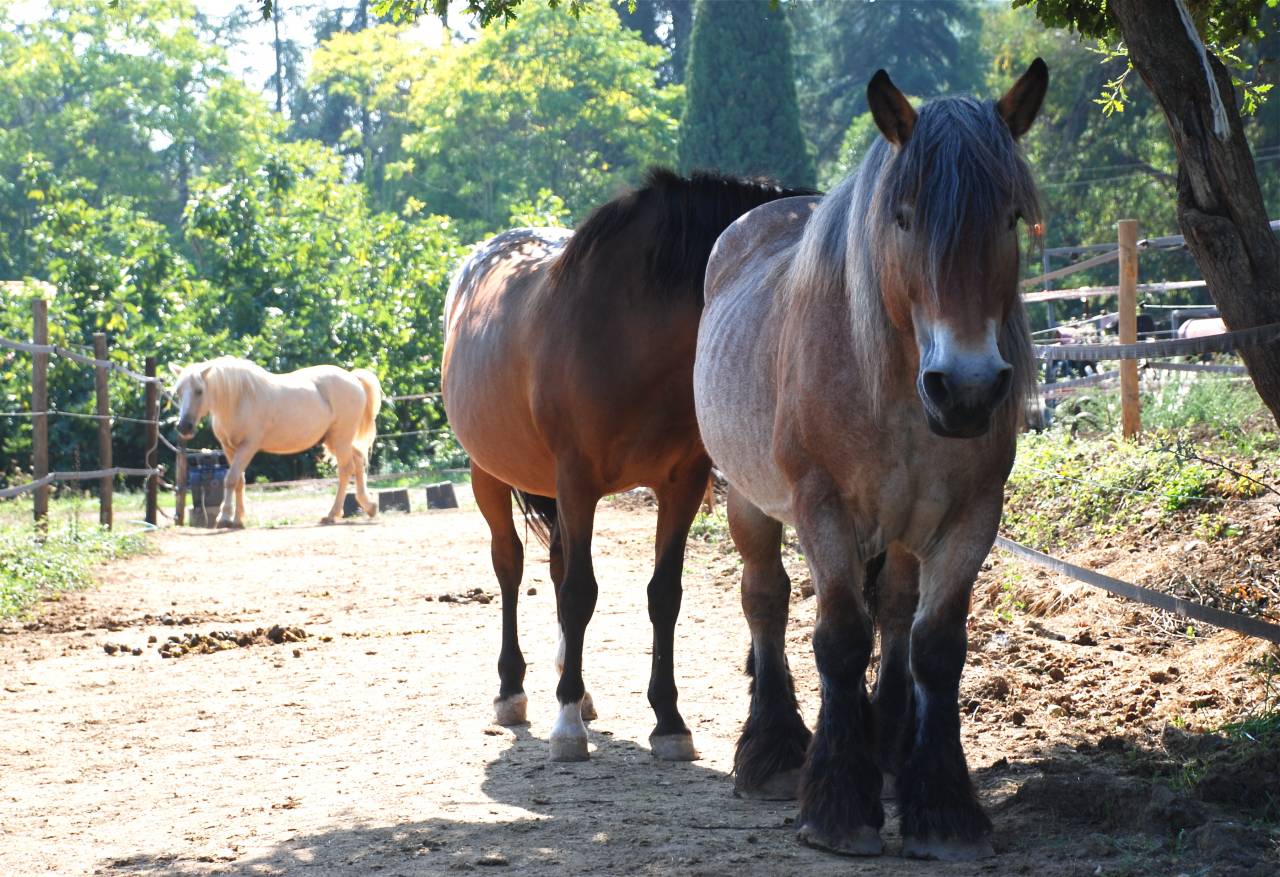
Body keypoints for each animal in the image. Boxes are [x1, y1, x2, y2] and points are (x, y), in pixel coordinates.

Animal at [172, 357, 382, 528]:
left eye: (199, 391)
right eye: (179, 392)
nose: (184, 427)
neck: (239, 398)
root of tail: (353, 378)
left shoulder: (248, 446)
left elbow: (230, 479)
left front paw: (224, 518)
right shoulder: (230, 448)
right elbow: (239, 481)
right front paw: (238, 520)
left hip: (341, 439)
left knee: (346, 469)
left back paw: (332, 515)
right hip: (336, 440)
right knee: (358, 461)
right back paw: (369, 506)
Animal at [442, 168, 815, 762]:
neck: (630, 336)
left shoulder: (681, 484)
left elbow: (663, 595)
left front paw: (668, 721)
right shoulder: (577, 481)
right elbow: (580, 592)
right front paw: (566, 726)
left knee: (555, 567)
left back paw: (576, 688)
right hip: (489, 475)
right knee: (511, 565)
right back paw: (513, 691)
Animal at [693, 61, 1047, 860]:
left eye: (1011, 216)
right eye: (905, 215)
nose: (967, 387)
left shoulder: (969, 515)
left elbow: (934, 645)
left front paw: (941, 807)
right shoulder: (822, 506)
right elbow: (839, 637)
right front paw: (836, 807)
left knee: (893, 609)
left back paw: (885, 749)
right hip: (749, 500)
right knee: (766, 599)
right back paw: (772, 751)